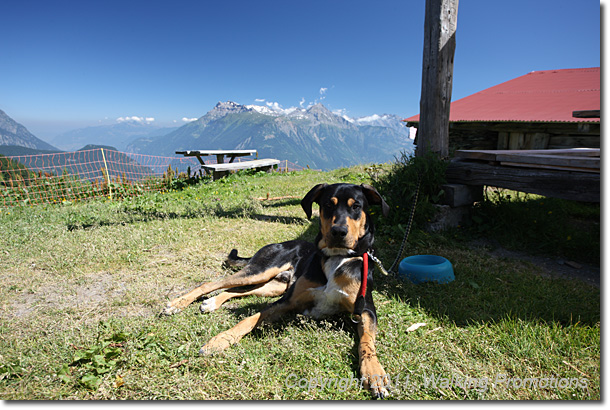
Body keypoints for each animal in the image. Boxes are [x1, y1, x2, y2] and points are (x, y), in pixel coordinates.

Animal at [162, 183, 390, 398]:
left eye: (356, 206)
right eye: (328, 205)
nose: (338, 232)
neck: (338, 257)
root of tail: (281, 243)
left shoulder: (365, 310)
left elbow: (366, 342)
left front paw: (374, 373)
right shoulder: (287, 302)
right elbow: (250, 318)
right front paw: (220, 340)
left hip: (273, 286)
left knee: (237, 291)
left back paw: (211, 302)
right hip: (261, 270)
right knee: (213, 283)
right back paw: (177, 304)